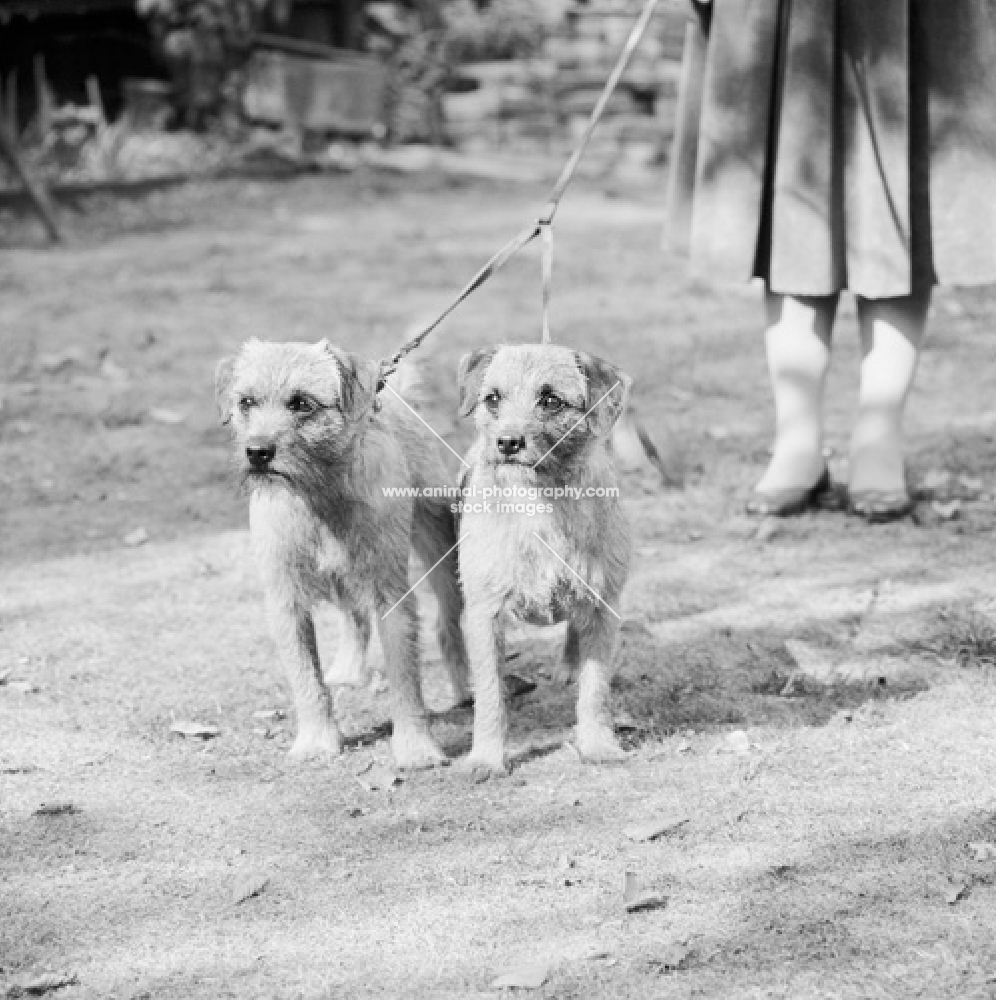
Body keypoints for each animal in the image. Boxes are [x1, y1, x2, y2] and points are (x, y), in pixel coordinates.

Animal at [215, 340, 470, 768]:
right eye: (246, 401)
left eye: (301, 403)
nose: (257, 452)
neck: (318, 498)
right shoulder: (287, 604)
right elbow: (306, 679)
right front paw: (318, 741)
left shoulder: (391, 597)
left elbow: (405, 679)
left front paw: (415, 748)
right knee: (355, 618)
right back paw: (347, 668)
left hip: (441, 555)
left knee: (448, 627)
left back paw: (467, 690)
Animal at [458, 340, 632, 776]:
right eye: (493, 398)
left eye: (551, 400)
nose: (507, 443)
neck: (539, 504)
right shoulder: (484, 614)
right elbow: (490, 696)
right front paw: (486, 758)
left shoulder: (603, 606)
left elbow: (595, 689)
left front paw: (597, 744)